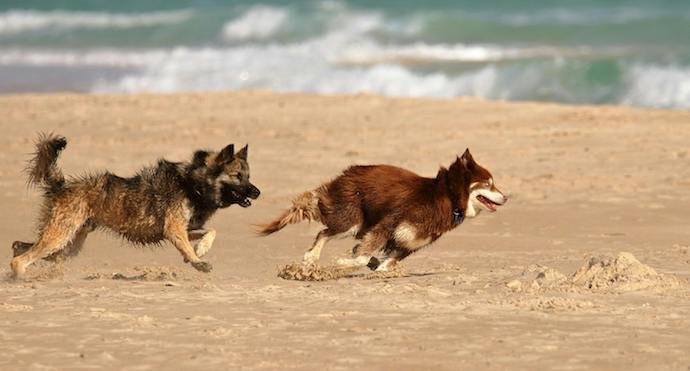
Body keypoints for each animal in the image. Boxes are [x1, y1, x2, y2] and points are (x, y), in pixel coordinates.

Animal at [10, 134, 258, 280]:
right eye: (237, 176)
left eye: (248, 176)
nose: (258, 192)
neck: (192, 184)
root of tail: (62, 185)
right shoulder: (174, 229)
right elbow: (188, 247)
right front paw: (198, 261)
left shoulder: (183, 229)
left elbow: (210, 232)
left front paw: (201, 250)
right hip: (61, 237)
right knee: (20, 259)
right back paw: (21, 276)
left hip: (68, 244)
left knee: (19, 246)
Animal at [258, 149, 506, 274]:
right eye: (489, 184)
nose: (506, 197)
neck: (448, 198)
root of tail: (346, 173)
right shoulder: (387, 225)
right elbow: (361, 255)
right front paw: (344, 264)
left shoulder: (408, 244)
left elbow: (386, 262)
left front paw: (378, 267)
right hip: (352, 220)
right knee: (324, 232)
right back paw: (312, 256)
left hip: (358, 224)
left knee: (325, 232)